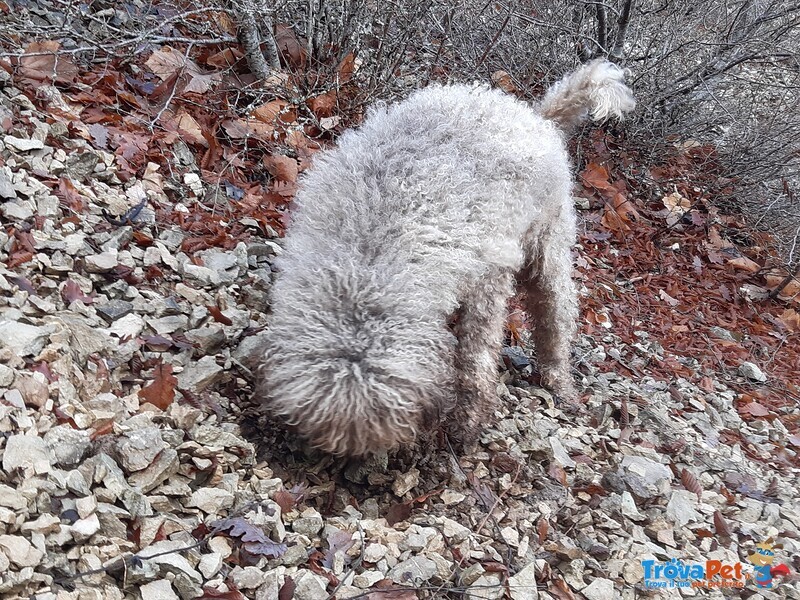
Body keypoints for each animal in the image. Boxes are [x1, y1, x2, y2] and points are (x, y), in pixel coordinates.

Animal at [260, 59, 636, 454]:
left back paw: (559, 381)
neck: (368, 253)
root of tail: (535, 115)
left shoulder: (489, 278)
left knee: (555, 315)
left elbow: (477, 357)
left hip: (547, 239)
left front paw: (468, 423)